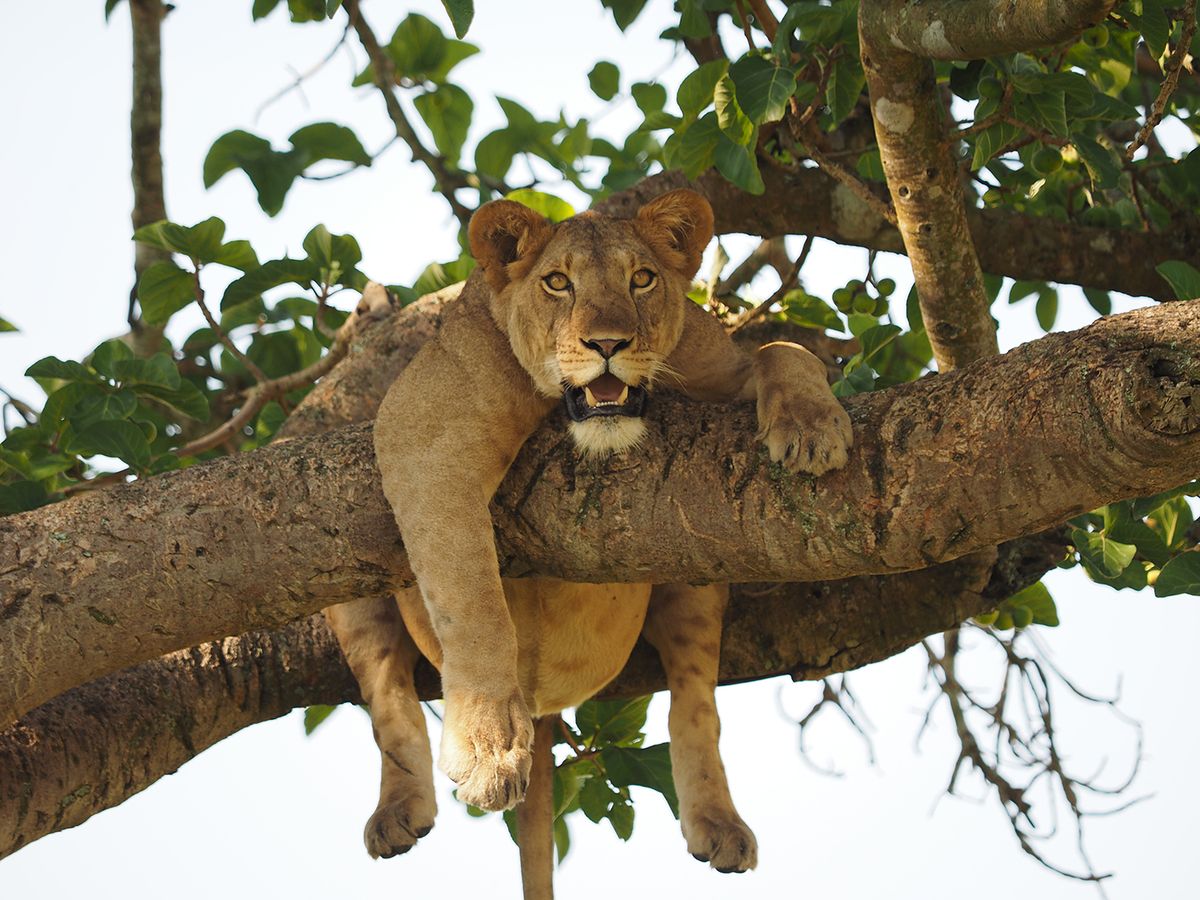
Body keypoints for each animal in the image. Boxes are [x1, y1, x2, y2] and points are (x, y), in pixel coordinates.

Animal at [325, 190, 853, 887]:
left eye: (642, 279)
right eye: (557, 283)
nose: (608, 343)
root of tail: (545, 706)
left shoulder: (717, 364)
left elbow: (784, 350)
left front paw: (814, 428)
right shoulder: (422, 434)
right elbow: (473, 602)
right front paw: (490, 750)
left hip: (699, 565)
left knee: (696, 701)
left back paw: (719, 824)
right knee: (387, 694)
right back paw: (398, 811)